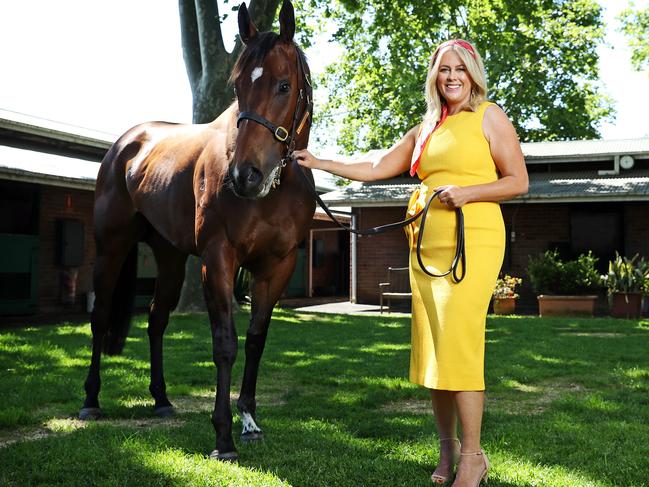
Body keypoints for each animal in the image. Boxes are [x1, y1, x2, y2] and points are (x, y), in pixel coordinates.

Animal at [78, 0, 314, 462]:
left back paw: (161, 399)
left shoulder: (277, 266)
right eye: (237, 86)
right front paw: (223, 436)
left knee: (156, 319)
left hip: (169, 257)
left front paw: (249, 422)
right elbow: (225, 343)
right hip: (111, 247)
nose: (245, 175)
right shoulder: (218, 259)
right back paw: (91, 400)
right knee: (100, 317)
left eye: (283, 85)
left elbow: (256, 340)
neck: (275, 190)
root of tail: (125, 145)